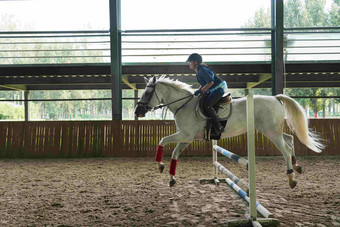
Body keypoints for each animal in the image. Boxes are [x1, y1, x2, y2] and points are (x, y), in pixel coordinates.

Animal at [135, 76, 324, 188]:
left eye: (147, 92)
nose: (138, 111)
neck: (184, 105)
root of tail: (276, 98)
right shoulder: (186, 138)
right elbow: (174, 153)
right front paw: (171, 177)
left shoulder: (185, 135)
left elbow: (162, 141)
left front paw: (160, 165)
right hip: (272, 130)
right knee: (290, 140)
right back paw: (297, 166)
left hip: (271, 133)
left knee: (285, 149)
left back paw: (291, 178)